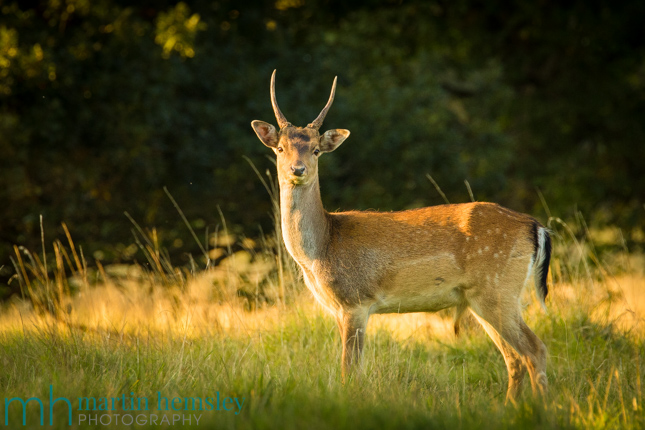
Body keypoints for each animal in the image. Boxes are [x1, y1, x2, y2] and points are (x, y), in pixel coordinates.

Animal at [249, 69, 552, 402]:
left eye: (316, 149)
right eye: (280, 149)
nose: (298, 169)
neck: (321, 251)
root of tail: (536, 226)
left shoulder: (355, 301)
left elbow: (349, 371)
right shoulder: (340, 309)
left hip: (498, 289)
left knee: (535, 350)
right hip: (482, 298)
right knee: (514, 358)